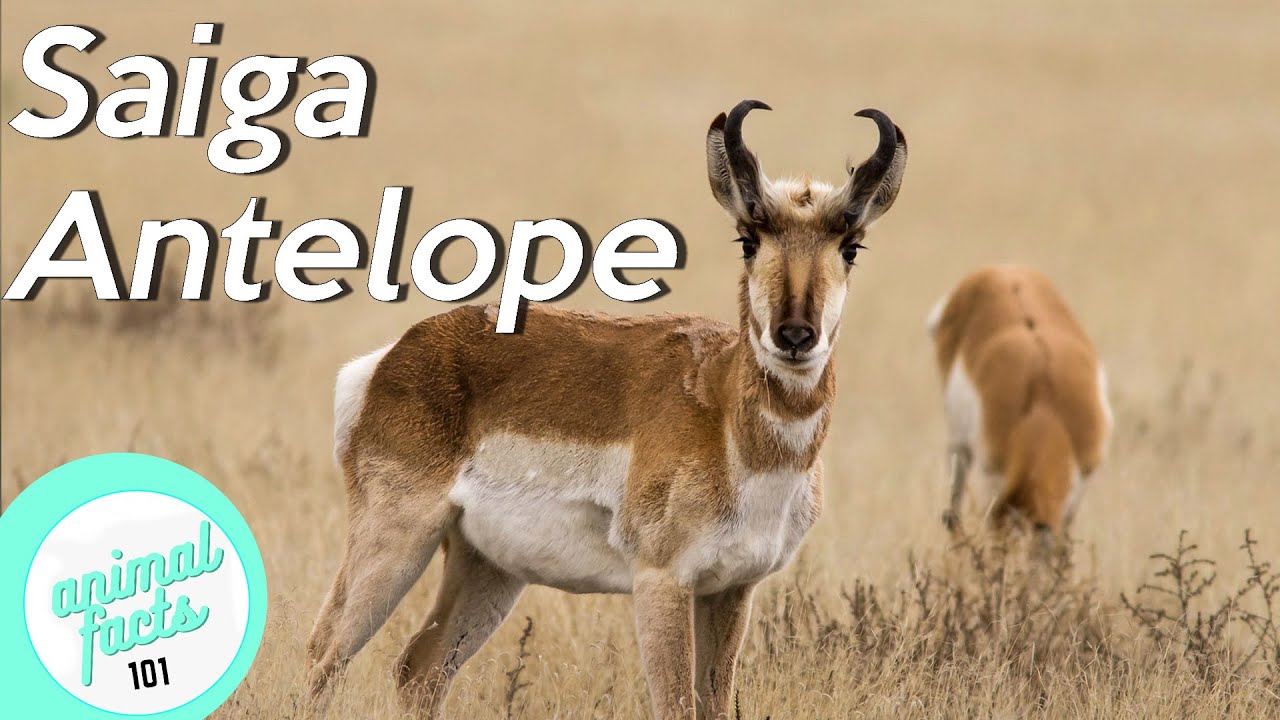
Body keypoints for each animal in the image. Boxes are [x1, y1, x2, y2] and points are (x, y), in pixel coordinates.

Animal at [304, 100, 907, 719]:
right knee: (325, 653)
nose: (795, 335)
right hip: (398, 538)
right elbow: (676, 706)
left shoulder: (731, 590)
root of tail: (397, 353)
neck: (721, 410)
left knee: (419, 668)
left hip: (486, 567)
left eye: (851, 246)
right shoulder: (662, 582)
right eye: (748, 240)